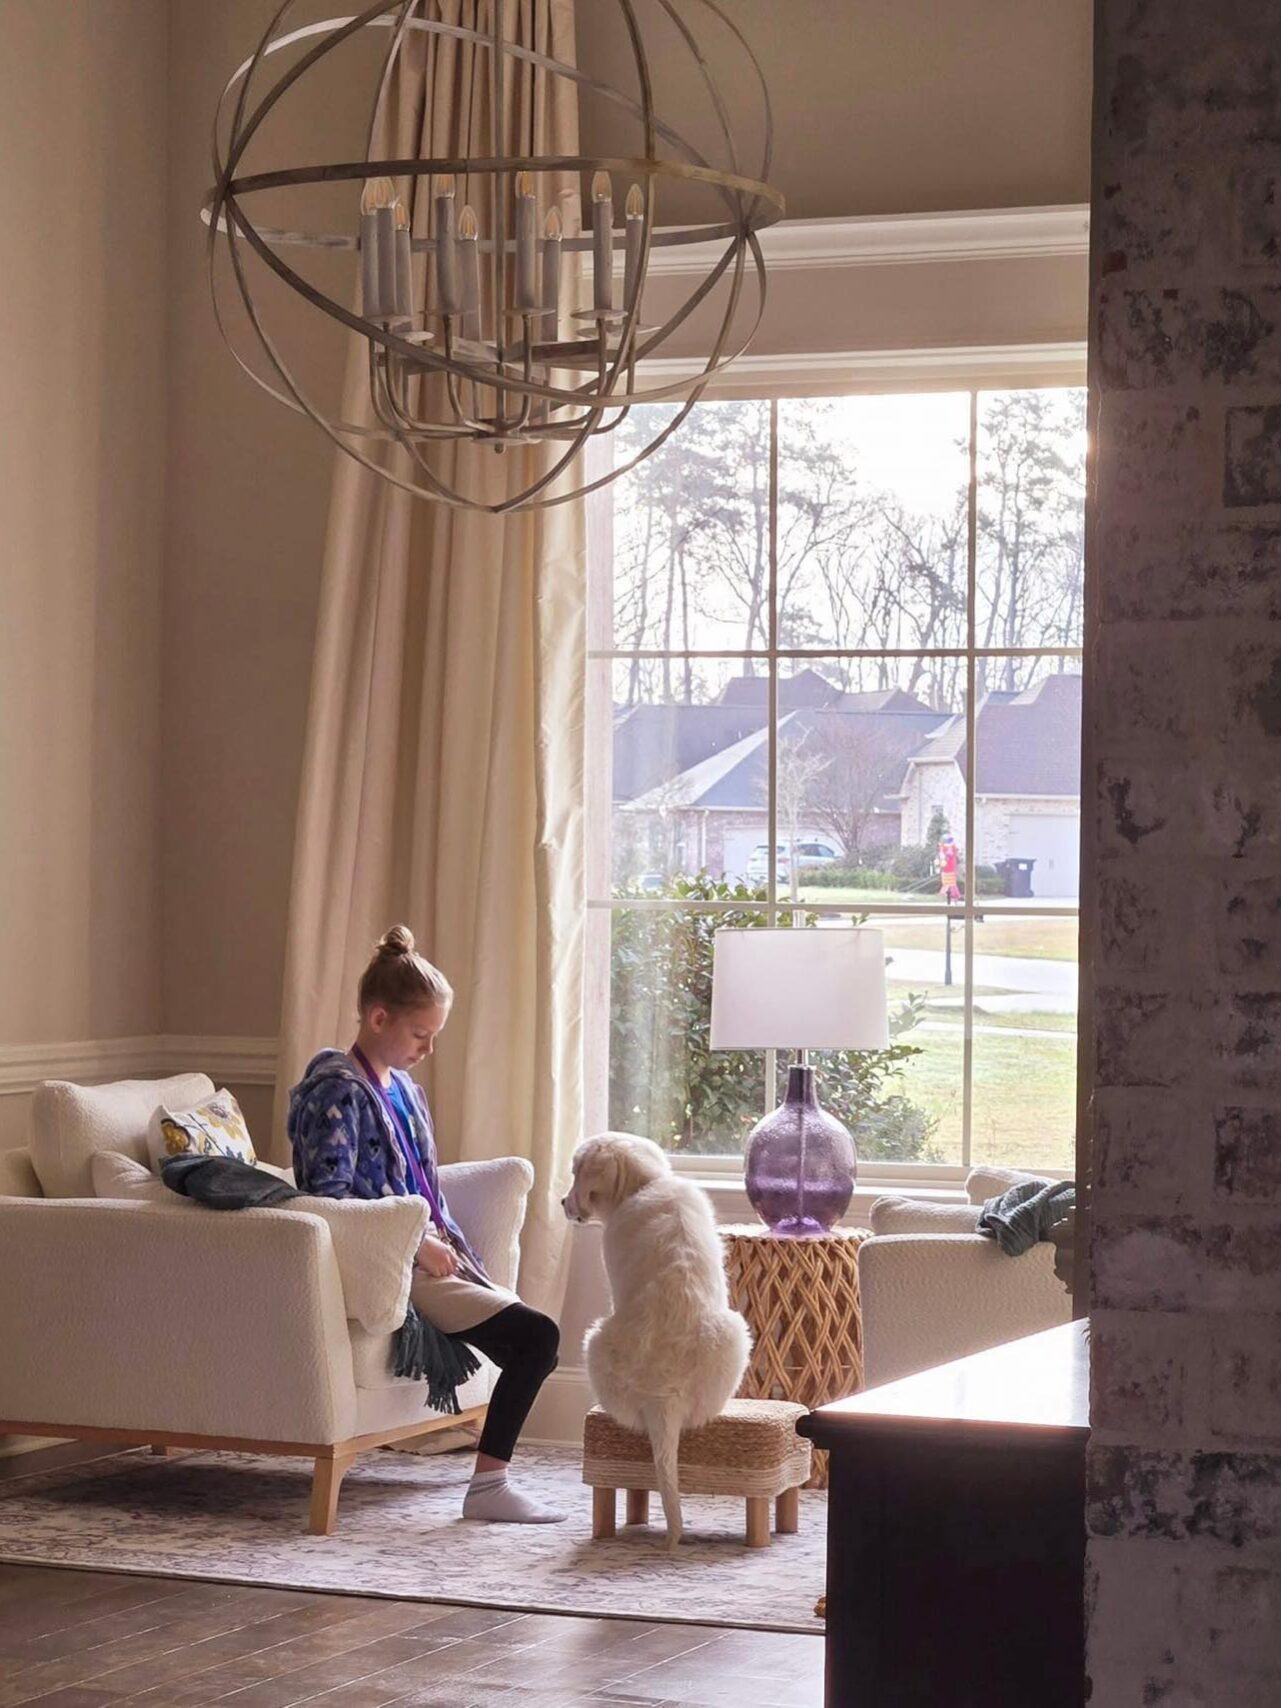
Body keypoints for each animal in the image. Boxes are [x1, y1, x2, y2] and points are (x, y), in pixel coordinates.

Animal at [562, 1133, 751, 1550]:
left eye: (575, 1172)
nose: (564, 1204)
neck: (645, 1184)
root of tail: (663, 1396)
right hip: (735, 1333)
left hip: (593, 1340)